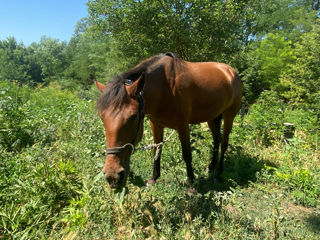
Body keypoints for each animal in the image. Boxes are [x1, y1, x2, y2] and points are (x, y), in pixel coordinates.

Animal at [96, 52, 241, 189]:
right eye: (102, 117)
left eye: (133, 117)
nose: (112, 176)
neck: (164, 86)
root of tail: (230, 71)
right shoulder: (156, 125)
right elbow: (157, 150)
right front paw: (154, 178)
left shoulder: (183, 126)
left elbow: (187, 154)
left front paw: (191, 182)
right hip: (212, 117)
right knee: (216, 139)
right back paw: (211, 167)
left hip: (229, 116)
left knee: (223, 143)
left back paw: (218, 174)